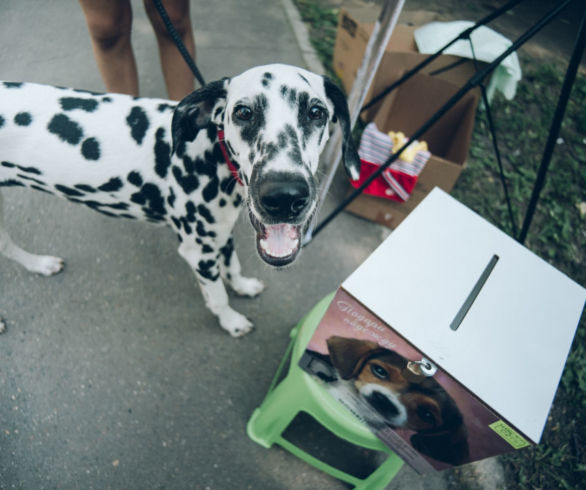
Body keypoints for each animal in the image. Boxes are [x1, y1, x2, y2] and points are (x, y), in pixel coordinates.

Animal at [0, 63, 358, 336]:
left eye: (316, 111)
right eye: (243, 112)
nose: (284, 196)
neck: (209, 156)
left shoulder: (220, 234)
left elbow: (232, 266)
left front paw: (242, 285)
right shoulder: (198, 251)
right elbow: (217, 295)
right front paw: (231, 321)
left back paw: (40, 264)